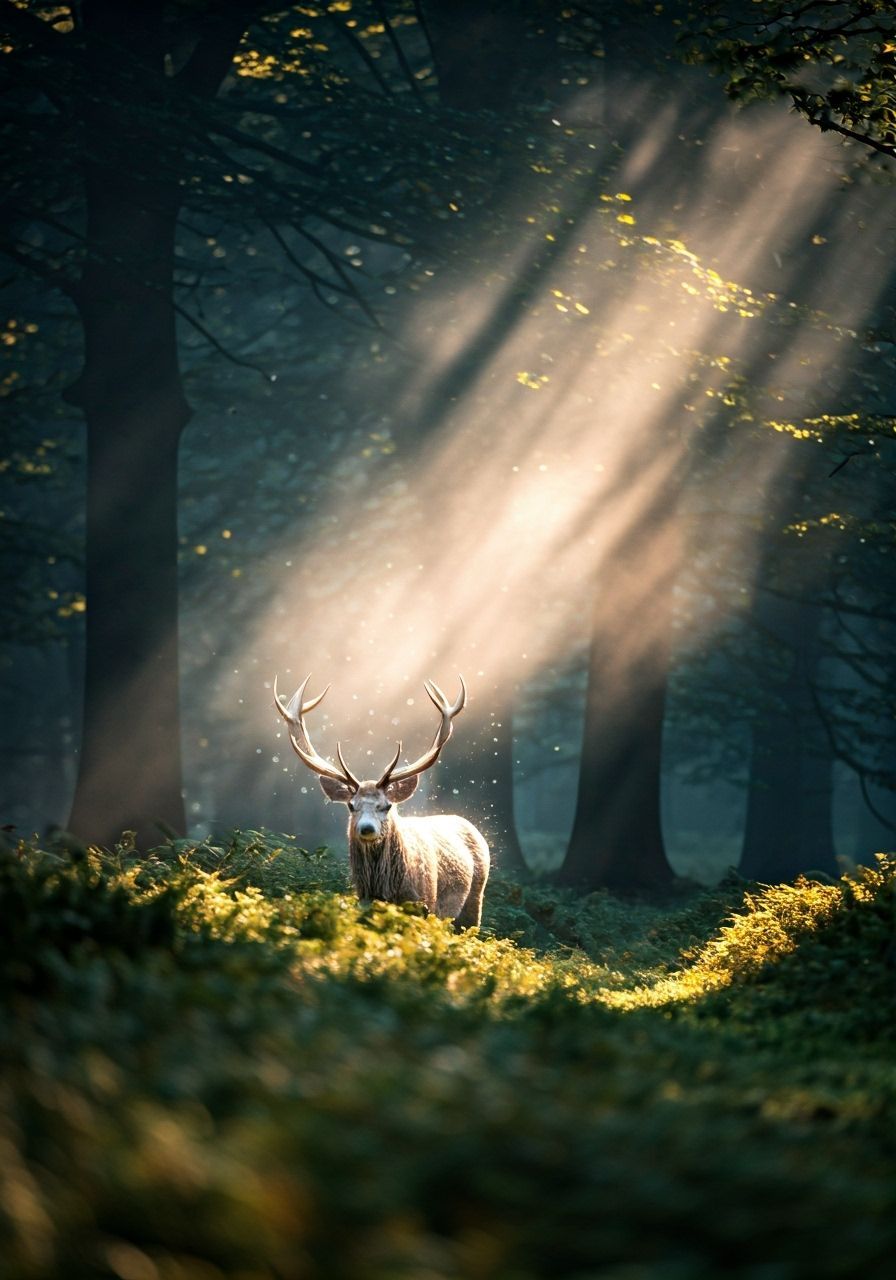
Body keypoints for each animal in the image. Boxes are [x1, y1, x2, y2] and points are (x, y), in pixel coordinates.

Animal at [273, 674, 490, 928]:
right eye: (351, 806)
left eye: (387, 806)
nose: (367, 828)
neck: (385, 892)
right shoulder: (363, 903)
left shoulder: (427, 902)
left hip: (474, 901)